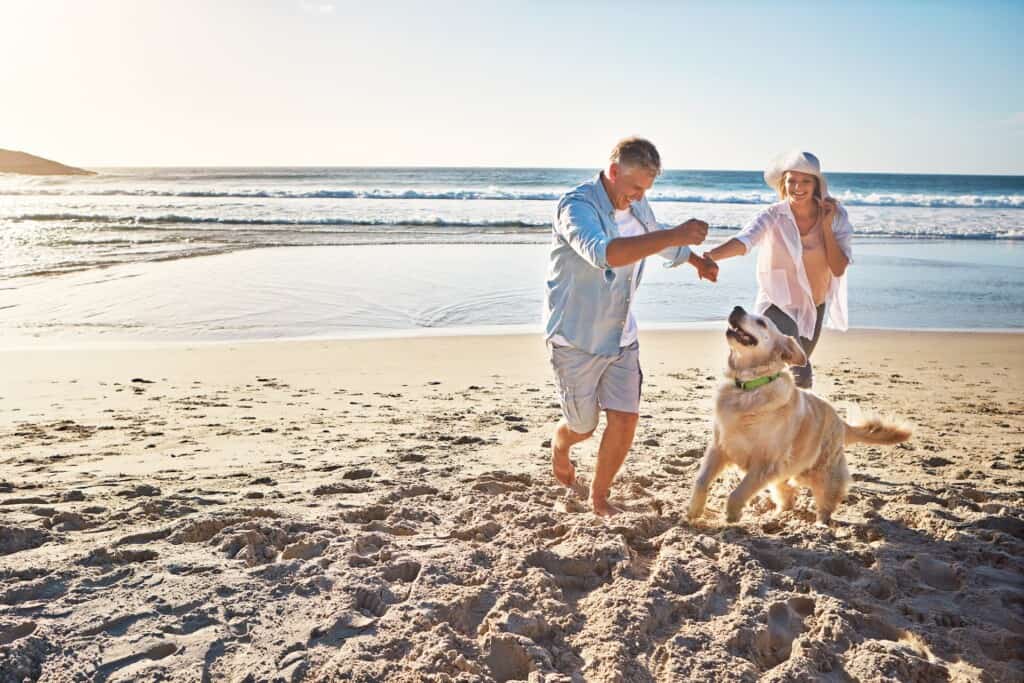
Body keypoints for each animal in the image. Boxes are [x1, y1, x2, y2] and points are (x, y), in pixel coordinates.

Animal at [688, 307, 913, 528]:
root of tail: (841, 422)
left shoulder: (765, 463)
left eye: (761, 322)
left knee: (825, 504)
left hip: (824, 473)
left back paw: (821, 526)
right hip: (785, 474)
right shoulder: (719, 448)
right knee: (787, 496)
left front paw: (731, 516)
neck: (748, 388)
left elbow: (738, 492)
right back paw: (776, 517)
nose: (737, 309)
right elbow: (701, 481)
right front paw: (694, 511)